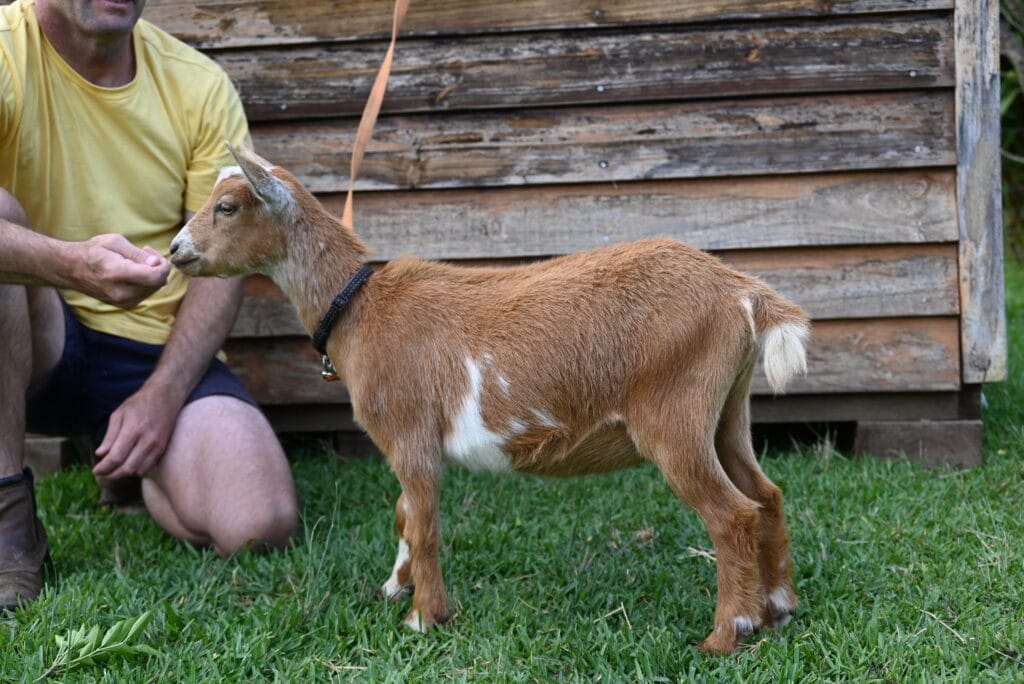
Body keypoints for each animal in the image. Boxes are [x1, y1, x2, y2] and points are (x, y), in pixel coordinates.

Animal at [169, 144, 810, 655]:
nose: (176, 250)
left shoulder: (410, 434)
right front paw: (395, 587)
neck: (359, 308)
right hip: (726, 411)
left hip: (675, 415)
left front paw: (424, 618)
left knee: (731, 515)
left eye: (228, 206)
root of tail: (741, 292)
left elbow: (423, 523)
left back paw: (726, 634)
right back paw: (778, 607)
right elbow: (404, 514)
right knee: (767, 495)